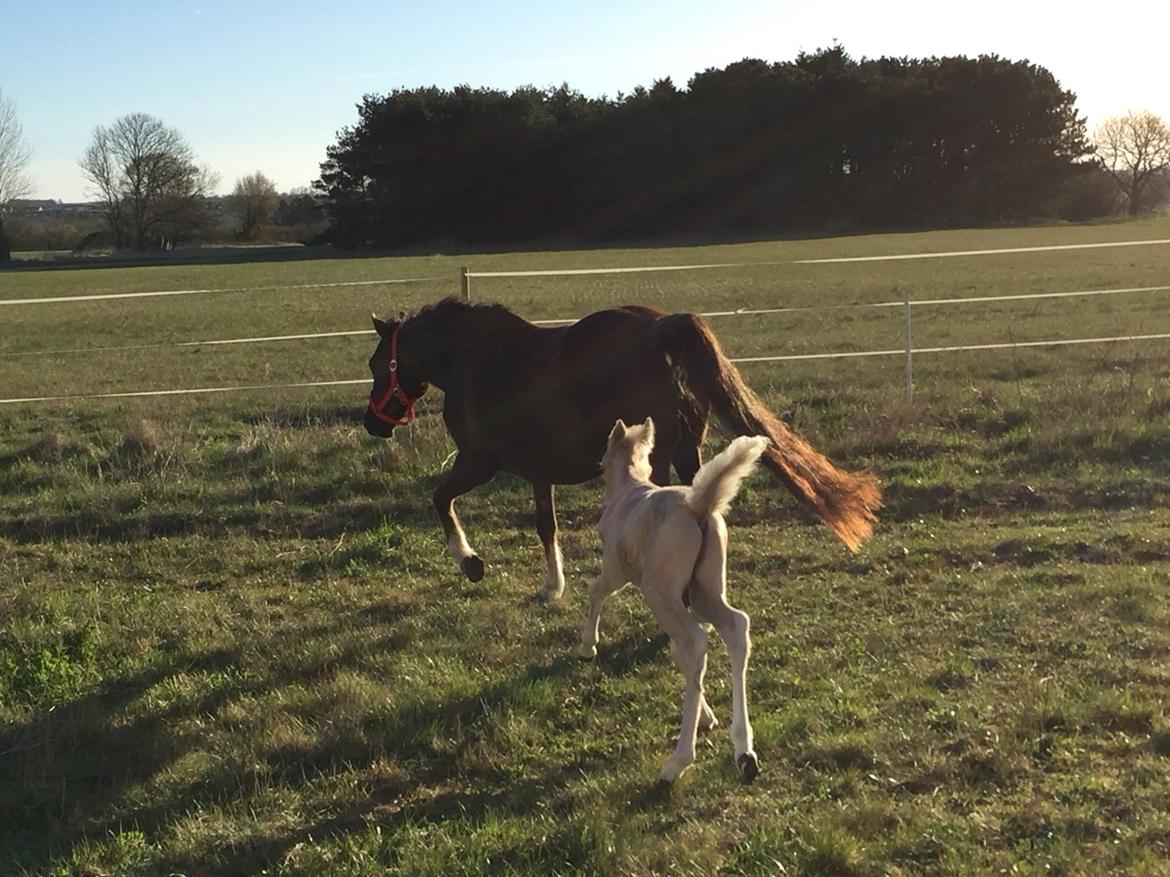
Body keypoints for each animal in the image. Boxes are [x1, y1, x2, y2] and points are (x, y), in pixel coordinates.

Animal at [364, 296, 881, 599]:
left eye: (375, 364)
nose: (373, 424)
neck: (476, 362)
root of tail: (660, 330)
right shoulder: (539, 472)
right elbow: (546, 527)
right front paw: (552, 587)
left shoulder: (478, 462)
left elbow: (440, 499)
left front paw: (471, 563)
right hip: (688, 454)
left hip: (658, 462)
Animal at [578, 418, 767, 784]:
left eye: (603, 462)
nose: (597, 471)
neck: (629, 491)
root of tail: (699, 507)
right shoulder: (684, 598)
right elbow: (677, 653)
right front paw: (707, 717)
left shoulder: (616, 570)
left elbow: (596, 591)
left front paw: (587, 646)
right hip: (706, 591)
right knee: (734, 628)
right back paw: (744, 751)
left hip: (660, 590)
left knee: (695, 642)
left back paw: (677, 762)